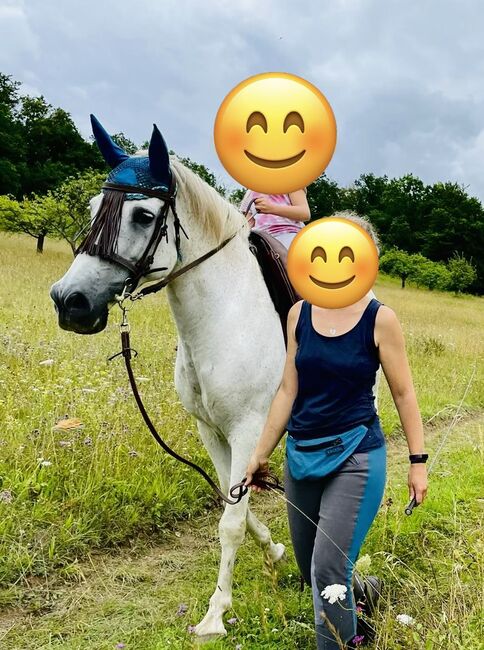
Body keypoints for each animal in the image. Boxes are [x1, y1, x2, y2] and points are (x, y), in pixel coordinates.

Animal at [50, 116, 287, 639]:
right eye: (93, 207)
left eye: (142, 216)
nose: (68, 301)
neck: (225, 317)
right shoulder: (212, 430)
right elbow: (235, 504)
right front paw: (274, 552)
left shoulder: (246, 428)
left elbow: (230, 523)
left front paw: (216, 614)